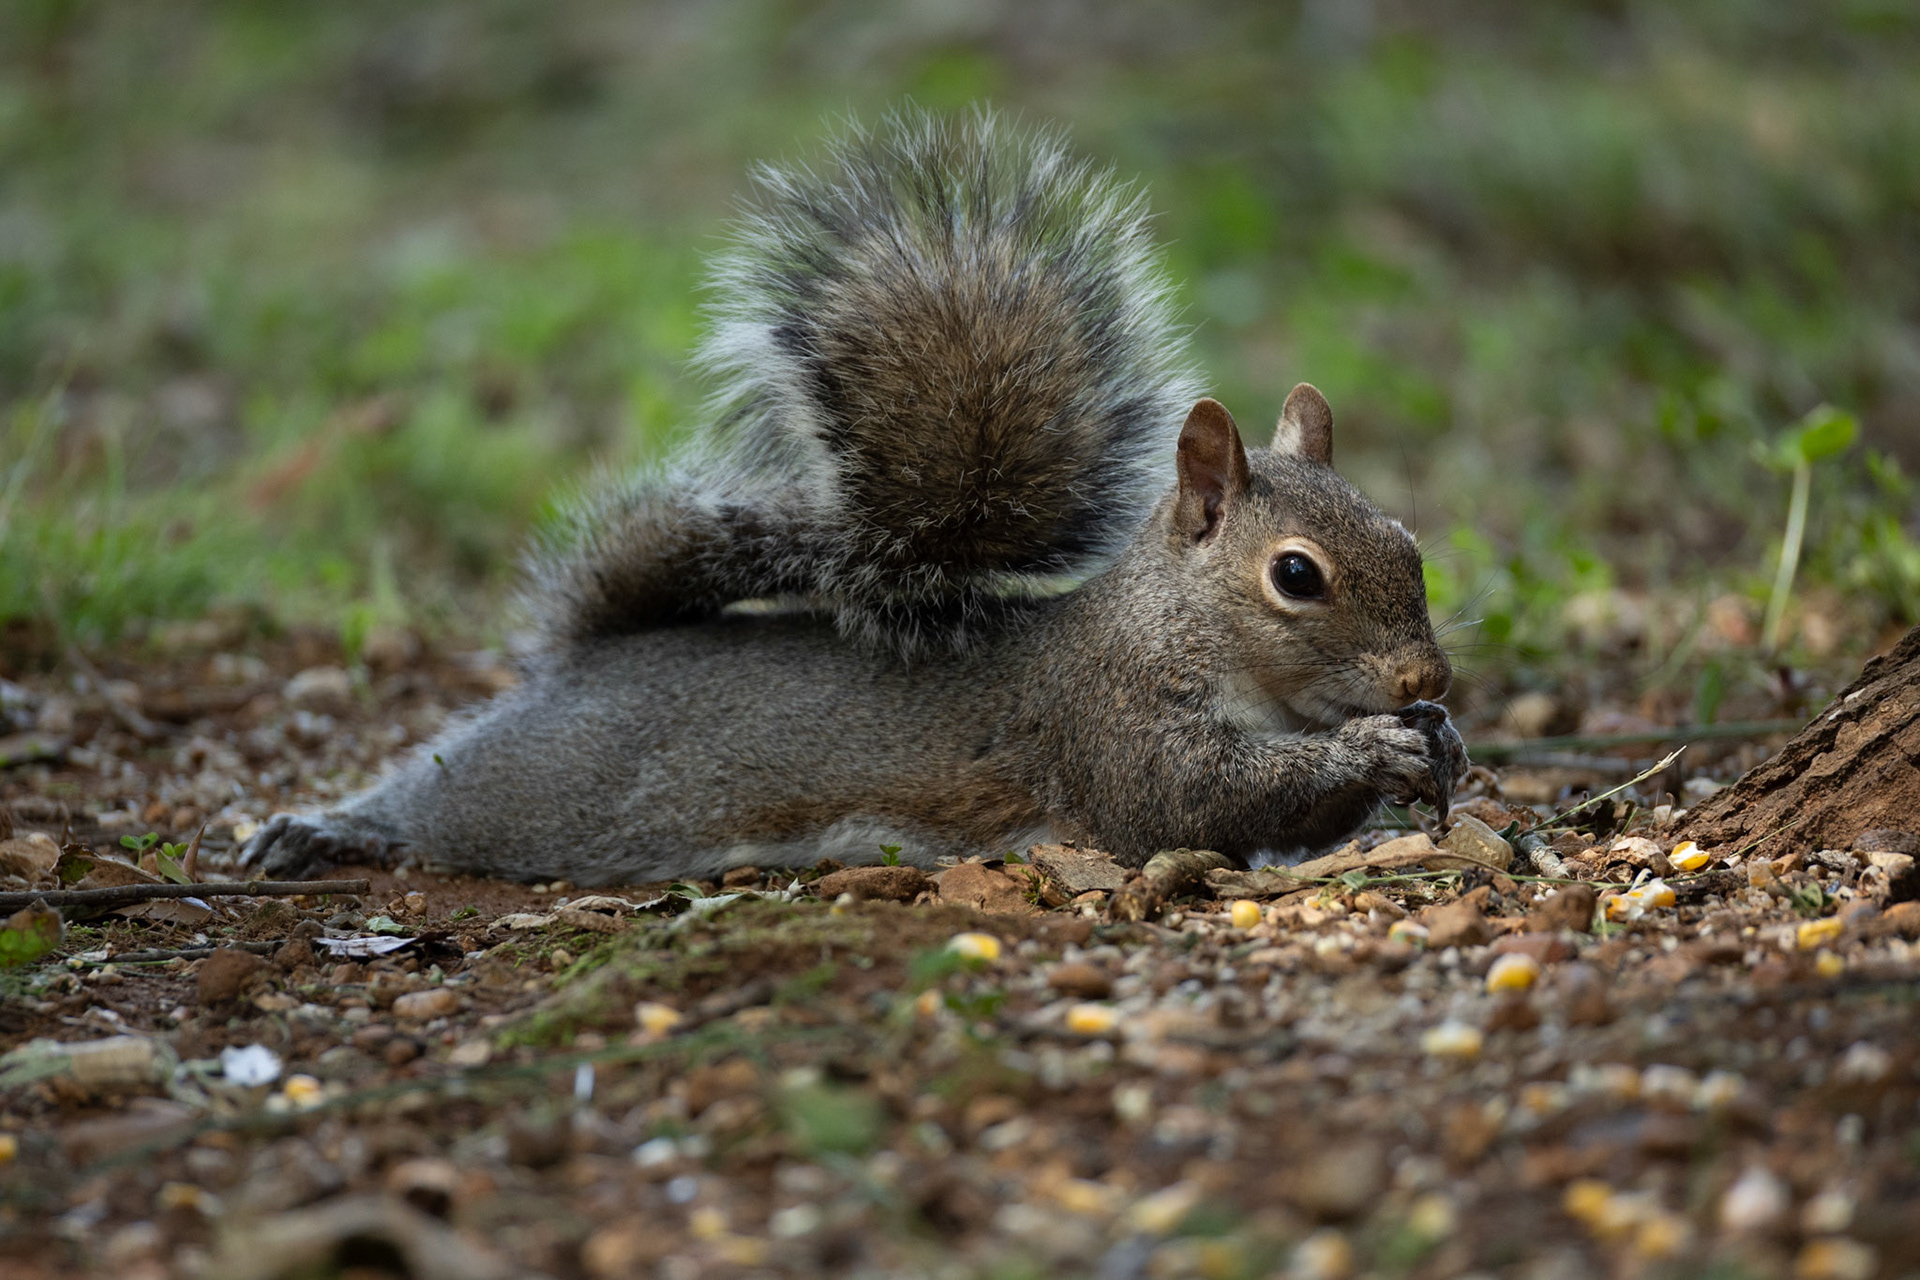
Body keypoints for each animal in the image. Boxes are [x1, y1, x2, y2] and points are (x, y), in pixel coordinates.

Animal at [242, 109, 1467, 885]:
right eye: (1295, 575)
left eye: (1410, 542)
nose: (1427, 678)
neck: (1178, 627)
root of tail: (585, 661)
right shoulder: (1110, 728)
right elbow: (1195, 801)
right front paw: (1373, 747)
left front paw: (1437, 744)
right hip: (532, 787)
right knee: (427, 797)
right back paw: (321, 830)